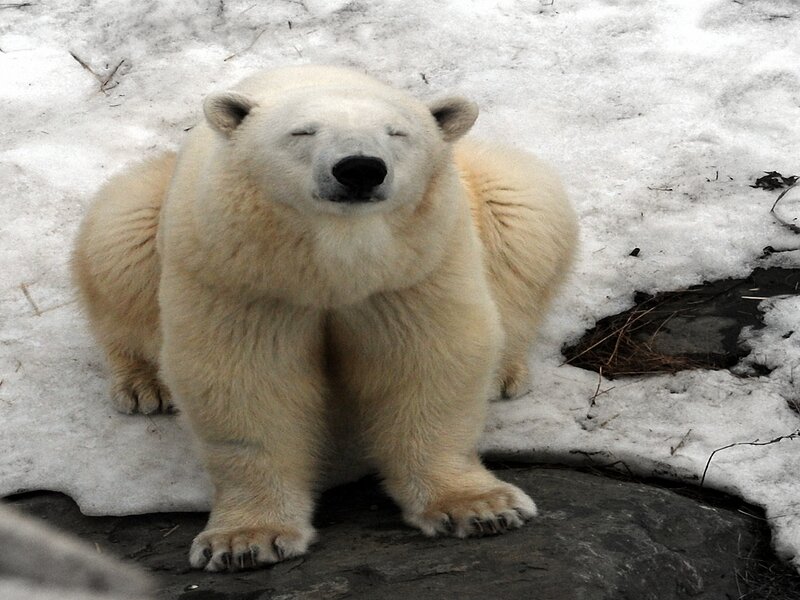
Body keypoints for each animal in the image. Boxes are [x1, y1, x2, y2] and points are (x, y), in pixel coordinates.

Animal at [72, 65, 578, 572]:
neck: (333, 265)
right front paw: (245, 540)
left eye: (397, 132)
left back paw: (503, 373)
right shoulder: (247, 275)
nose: (360, 168)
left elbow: (426, 358)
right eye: (302, 131)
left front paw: (479, 507)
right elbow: (247, 376)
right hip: (151, 215)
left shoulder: (411, 270)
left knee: (523, 214)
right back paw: (143, 387)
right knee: (118, 241)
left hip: (488, 196)